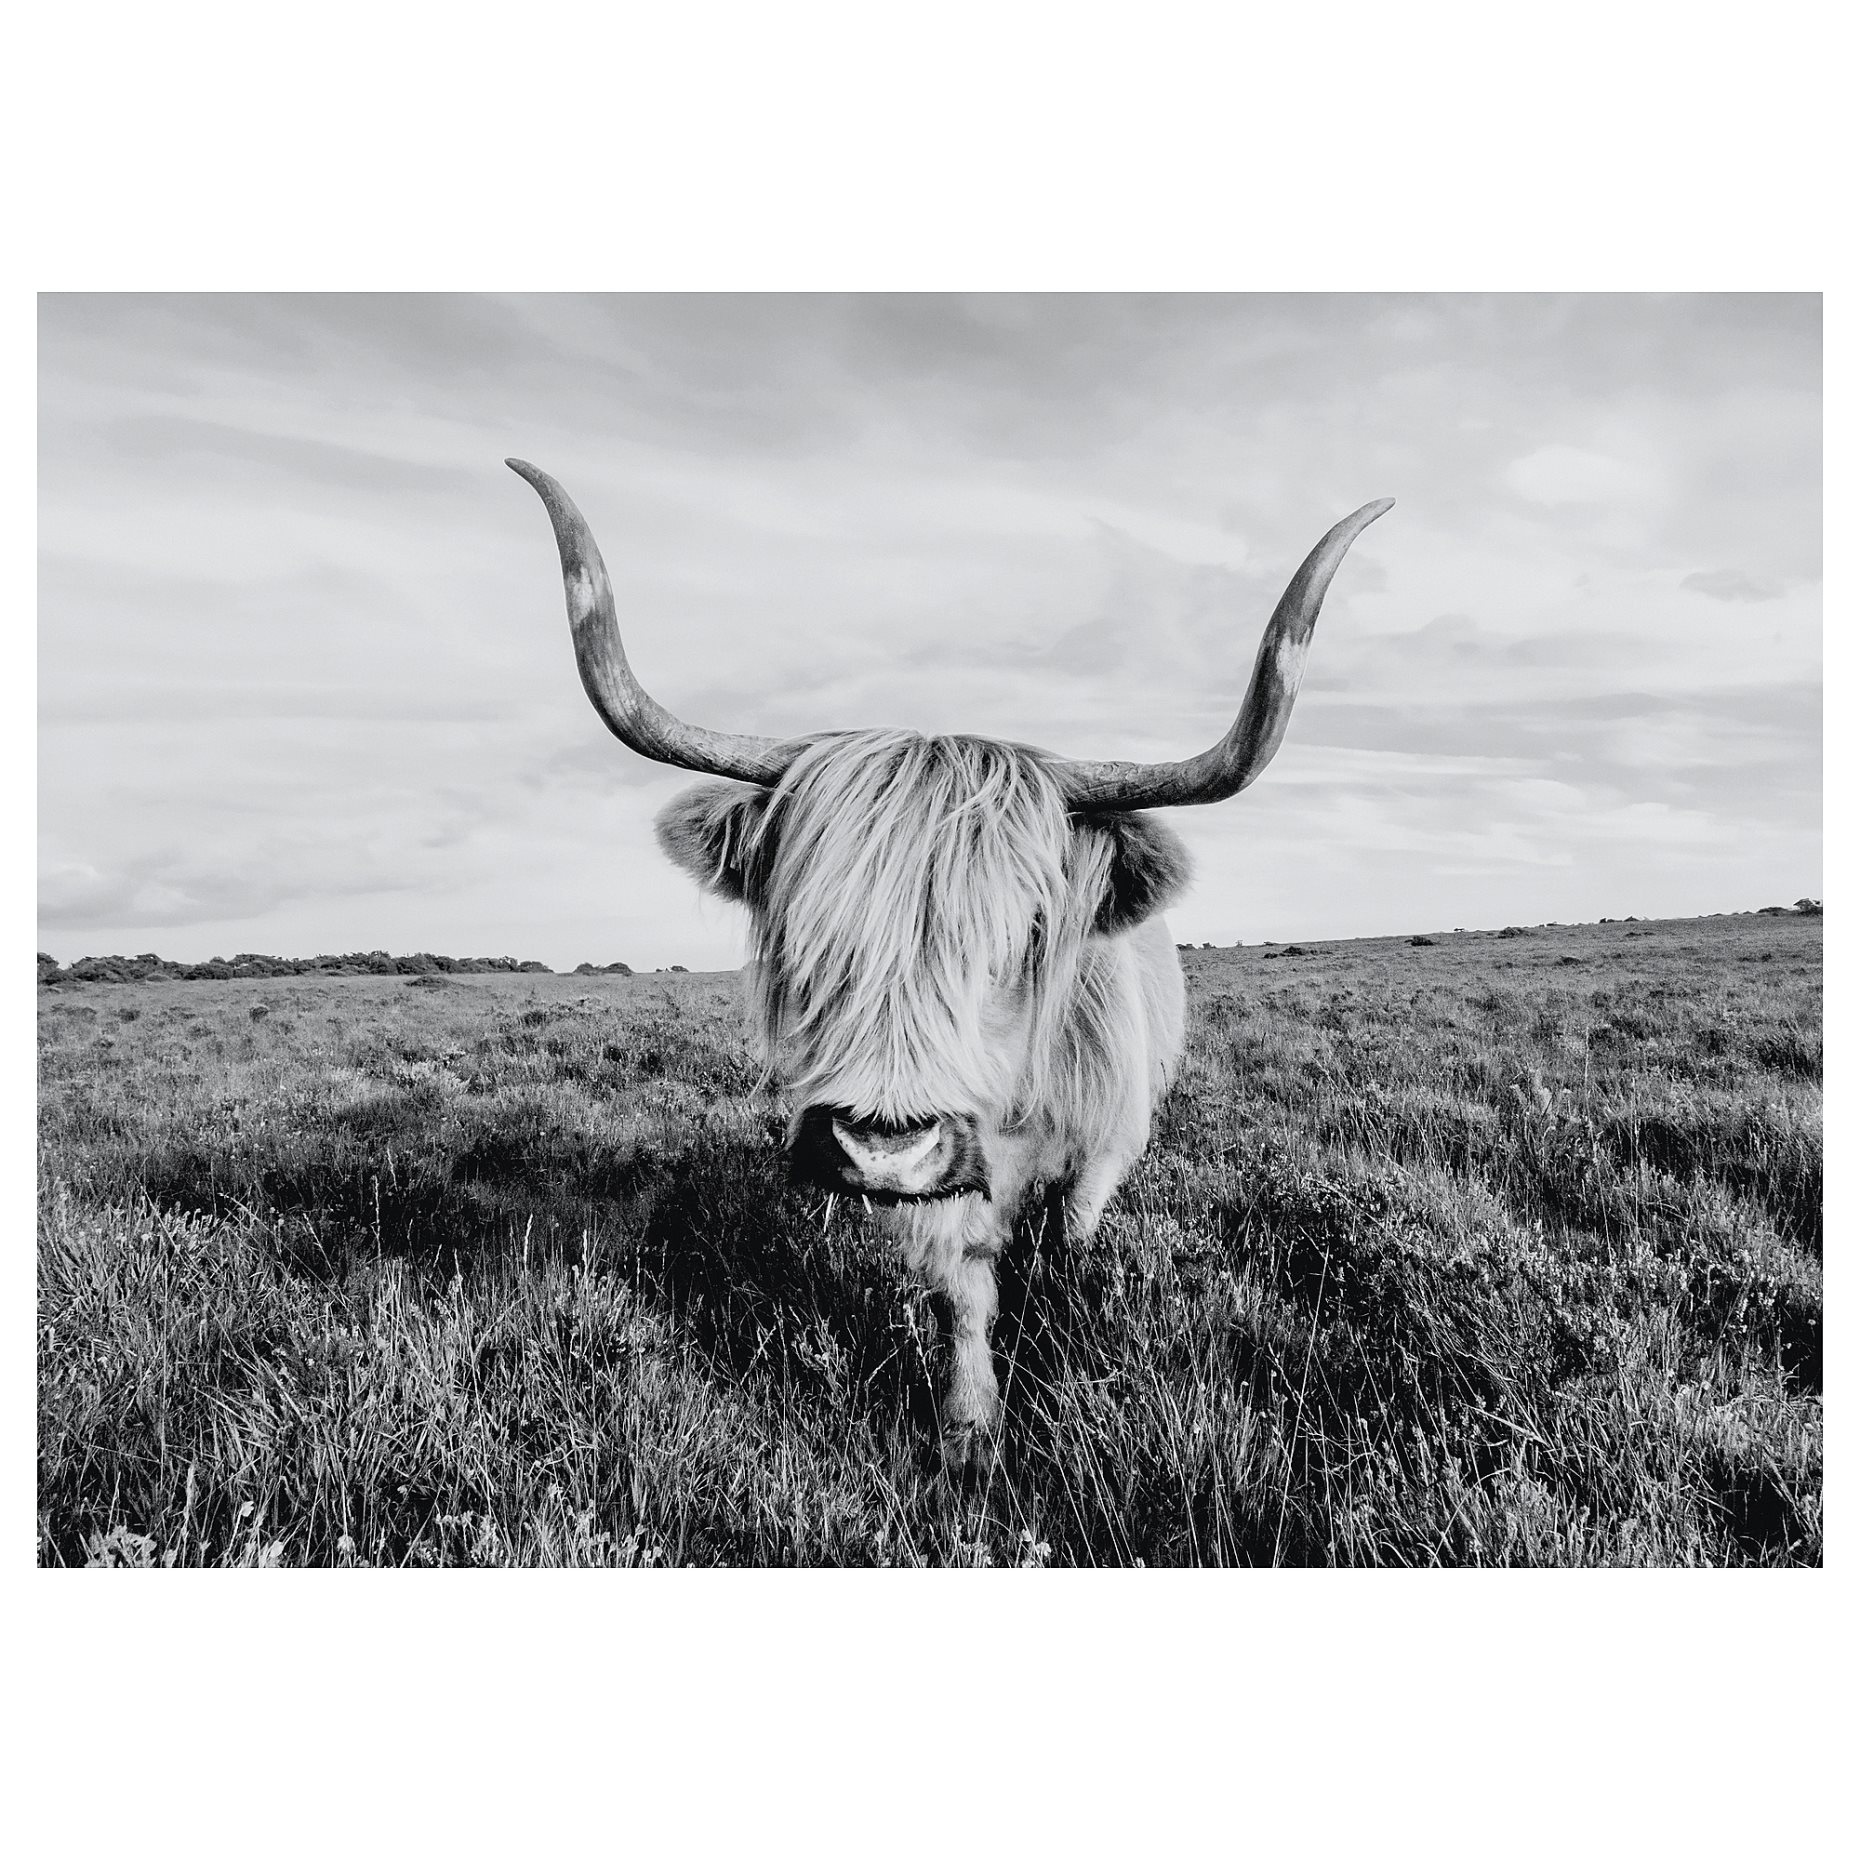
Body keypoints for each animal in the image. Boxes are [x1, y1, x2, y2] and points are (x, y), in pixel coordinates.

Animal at [509, 459, 1390, 1466]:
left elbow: (1069, 1240)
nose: (882, 1148)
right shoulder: (946, 1192)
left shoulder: (1101, 1147)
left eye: (1023, 937)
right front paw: (970, 1430)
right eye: (808, 933)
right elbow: (964, 1288)